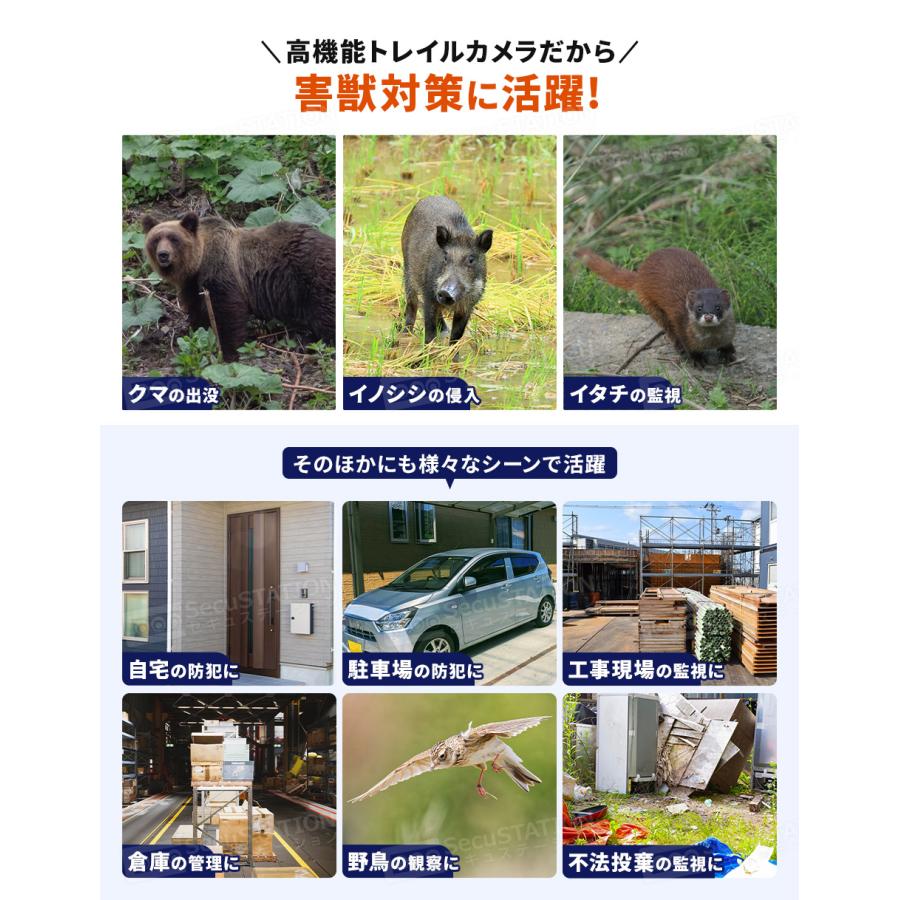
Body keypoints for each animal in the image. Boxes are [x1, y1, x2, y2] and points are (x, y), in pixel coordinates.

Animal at [141, 211, 335, 361]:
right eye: (156, 239)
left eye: (174, 239)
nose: (163, 255)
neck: (198, 262)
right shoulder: (192, 285)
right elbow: (197, 312)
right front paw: (197, 332)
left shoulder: (221, 271)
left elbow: (228, 312)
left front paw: (228, 352)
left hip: (313, 277)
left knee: (326, 314)